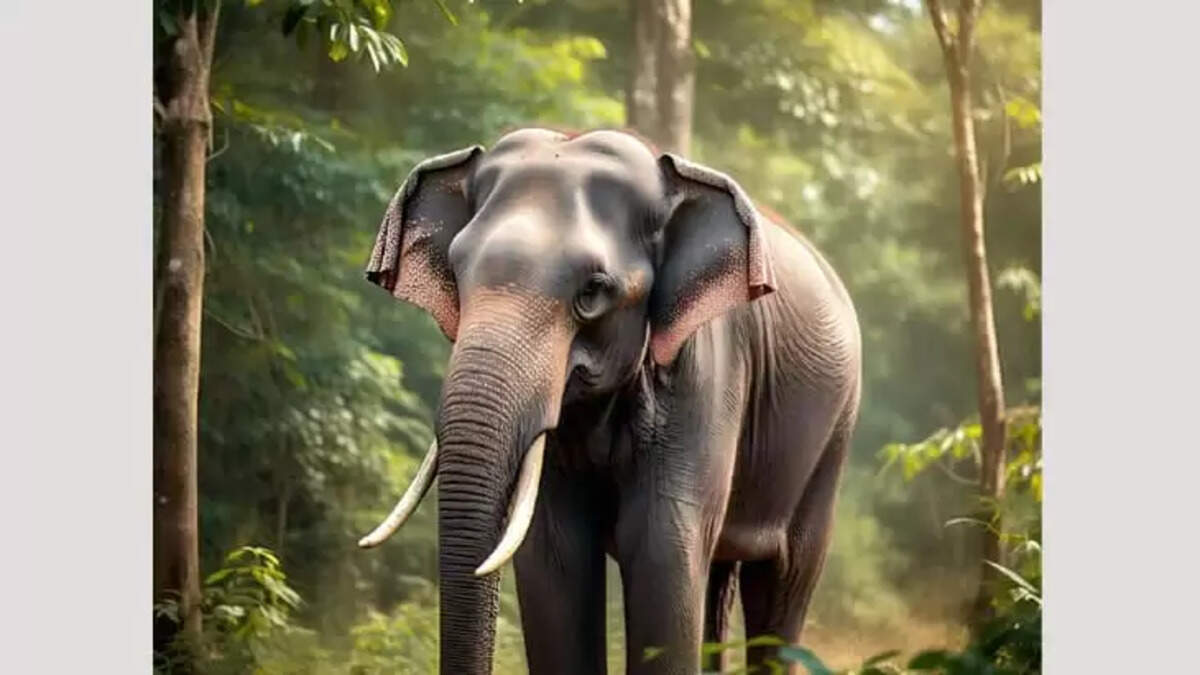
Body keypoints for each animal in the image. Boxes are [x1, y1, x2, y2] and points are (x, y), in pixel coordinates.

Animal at [357, 128, 861, 675]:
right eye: (456, 271)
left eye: (593, 292)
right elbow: (554, 556)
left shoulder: (704, 374)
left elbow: (662, 549)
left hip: (833, 437)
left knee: (785, 578)